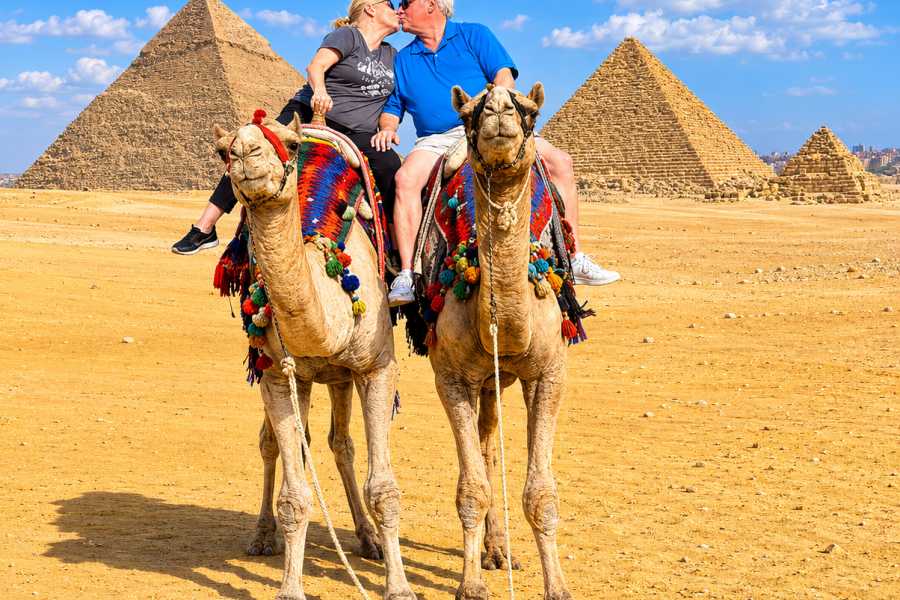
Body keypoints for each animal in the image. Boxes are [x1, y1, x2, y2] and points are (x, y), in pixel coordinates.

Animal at [213, 114, 416, 600]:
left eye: (288, 143)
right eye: (224, 150)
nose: (246, 153)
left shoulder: (377, 368)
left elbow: (383, 488)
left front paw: (398, 586)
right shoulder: (278, 376)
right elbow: (293, 494)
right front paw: (290, 587)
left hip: (341, 375)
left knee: (341, 444)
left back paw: (369, 539)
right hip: (290, 374)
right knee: (273, 445)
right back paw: (262, 536)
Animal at [427, 83, 573, 600]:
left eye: (528, 111)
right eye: (469, 113)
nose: (497, 108)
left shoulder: (548, 375)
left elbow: (542, 493)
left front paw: (557, 587)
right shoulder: (451, 378)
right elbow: (471, 488)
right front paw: (469, 586)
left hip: (496, 381)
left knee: (490, 443)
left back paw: (498, 552)